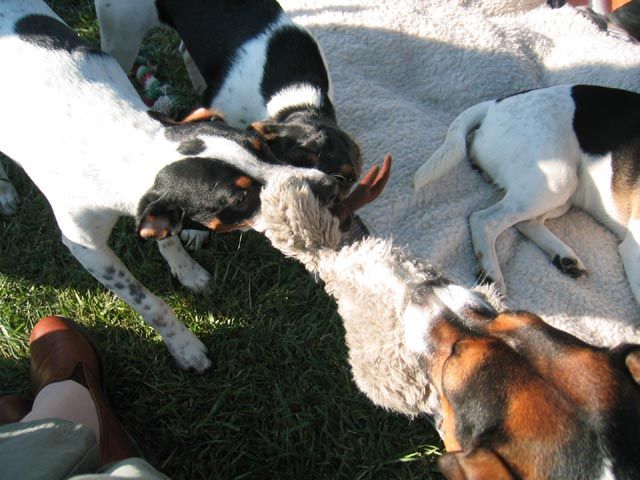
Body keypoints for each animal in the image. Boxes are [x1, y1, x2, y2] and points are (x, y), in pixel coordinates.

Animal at [412, 85, 640, 304]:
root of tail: (495, 104)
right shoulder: (633, 248)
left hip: (562, 194)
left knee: (526, 223)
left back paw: (565, 258)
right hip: (558, 180)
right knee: (483, 220)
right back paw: (492, 276)